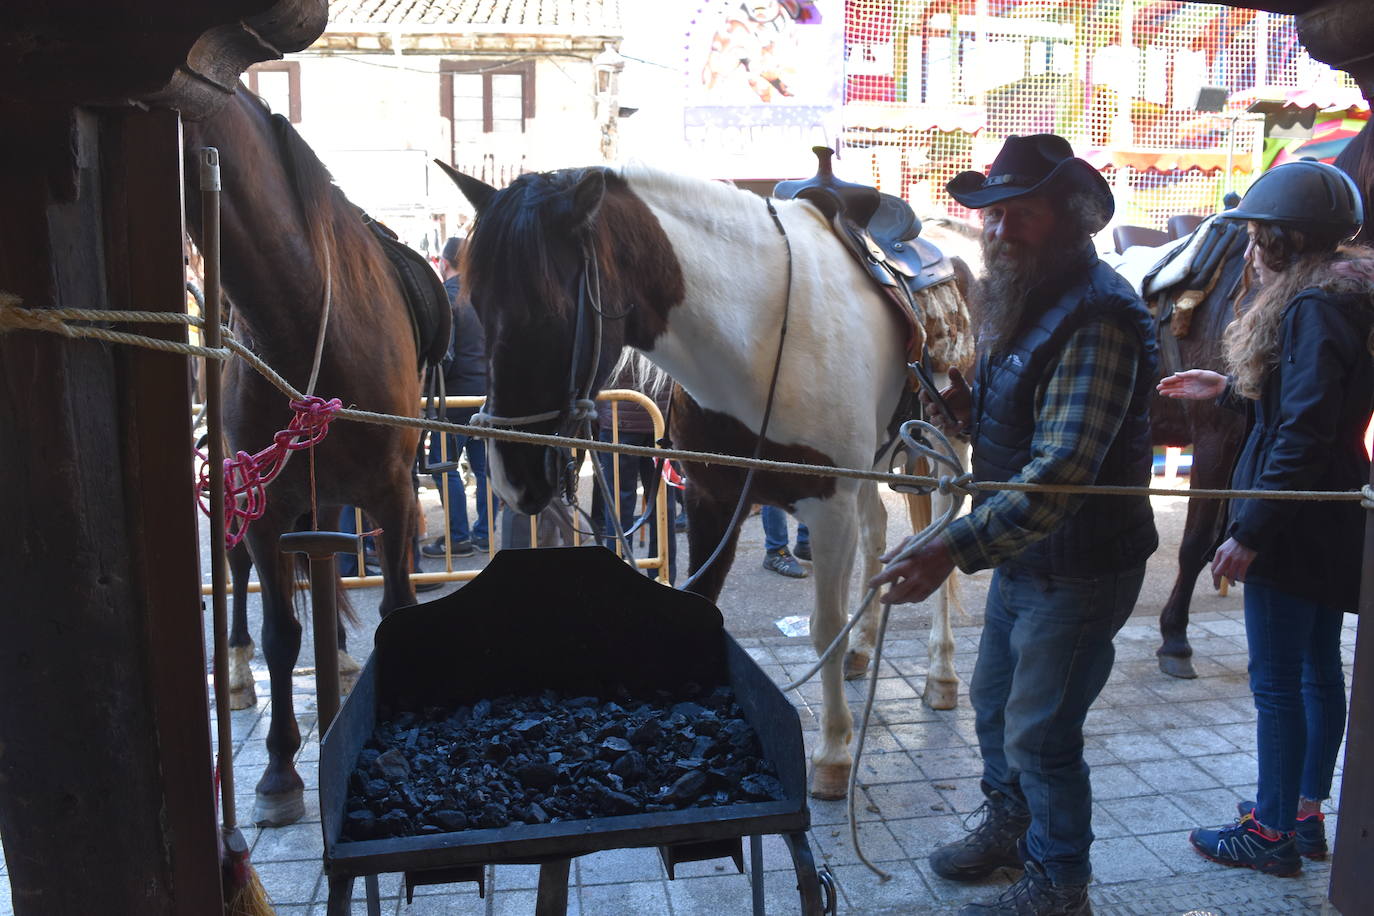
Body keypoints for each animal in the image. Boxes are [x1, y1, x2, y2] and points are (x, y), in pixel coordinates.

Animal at [184, 89, 445, 829]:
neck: (299, 325)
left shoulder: (393, 493)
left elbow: (393, 605)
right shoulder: (267, 505)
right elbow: (279, 632)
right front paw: (278, 771)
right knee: (237, 570)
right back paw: (236, 672)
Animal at [445, 164, 972, 802]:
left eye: (546, 309)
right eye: (475, 304)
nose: (509, 477)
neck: (761, 341)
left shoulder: (828, 506)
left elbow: (823, 628)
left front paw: (833, 751)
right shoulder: (711, 500)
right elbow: (701, 603)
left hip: (943, 445)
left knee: (938, 534)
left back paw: (941, 671)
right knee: (877, 533)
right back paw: (866, 645)